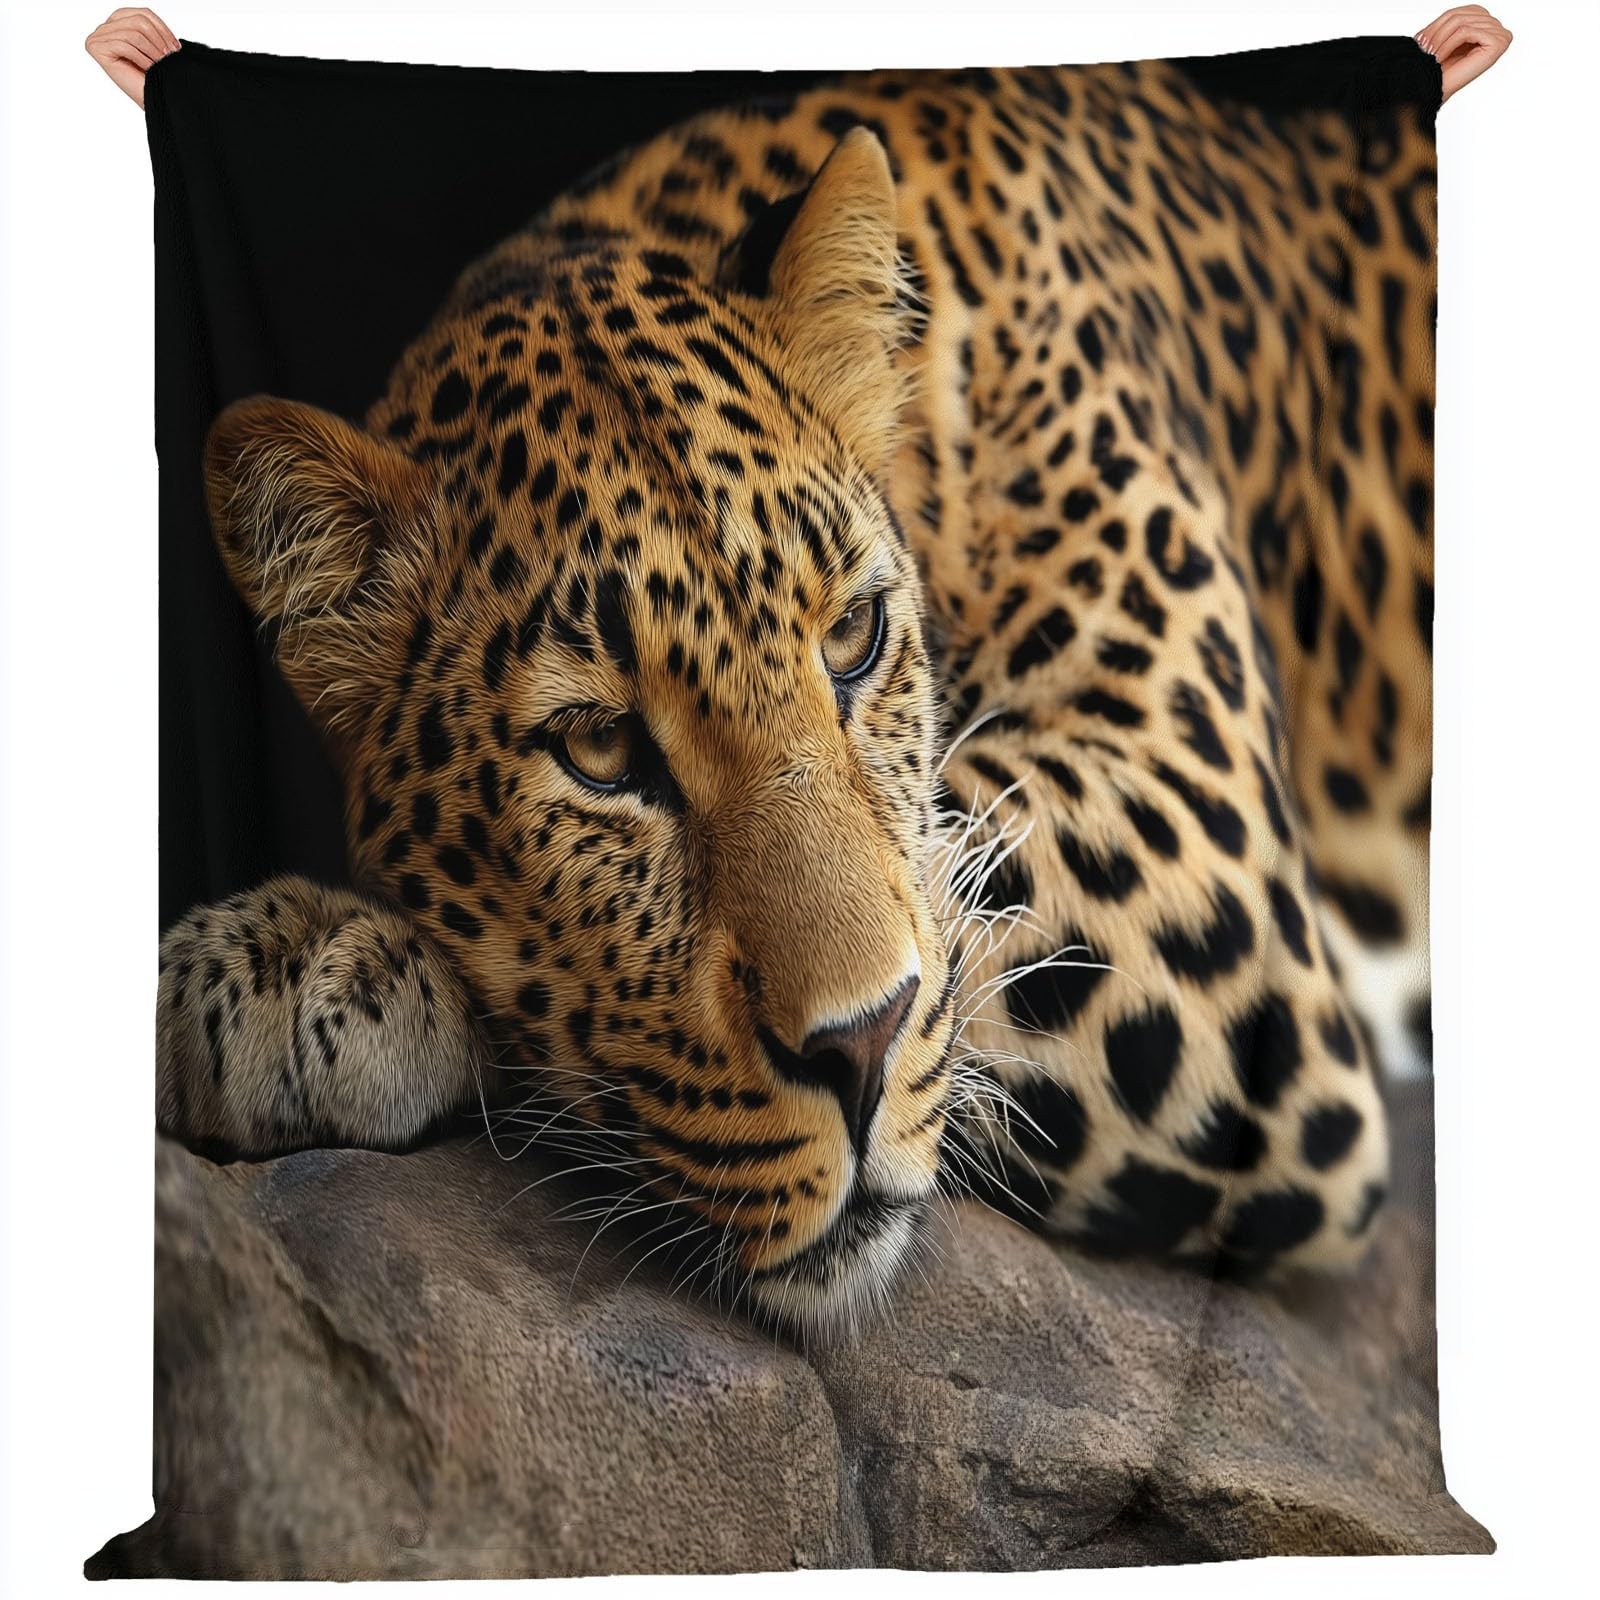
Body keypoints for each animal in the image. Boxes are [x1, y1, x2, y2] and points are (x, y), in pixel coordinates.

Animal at [159, 54, 1437, 1332]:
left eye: (854, 638)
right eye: (599, 748)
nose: (856, 1054)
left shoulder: (1213, 885)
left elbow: (956, 872)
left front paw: (314, 962)